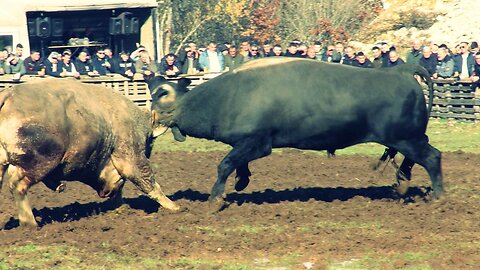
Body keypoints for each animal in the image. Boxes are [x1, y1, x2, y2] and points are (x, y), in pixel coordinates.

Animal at [148, 58, 444, 208]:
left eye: (159, 98)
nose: (149, 123)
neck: (228, 97)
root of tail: (401, 70)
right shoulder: (247, 143)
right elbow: (237, 164)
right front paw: (242, 180)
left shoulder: (257, 142)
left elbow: (225, 164)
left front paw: (216, 197)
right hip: (409, 138)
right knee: (417, 157)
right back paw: (402, 182)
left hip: (405, 138)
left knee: (432, 157)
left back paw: (437, 196)